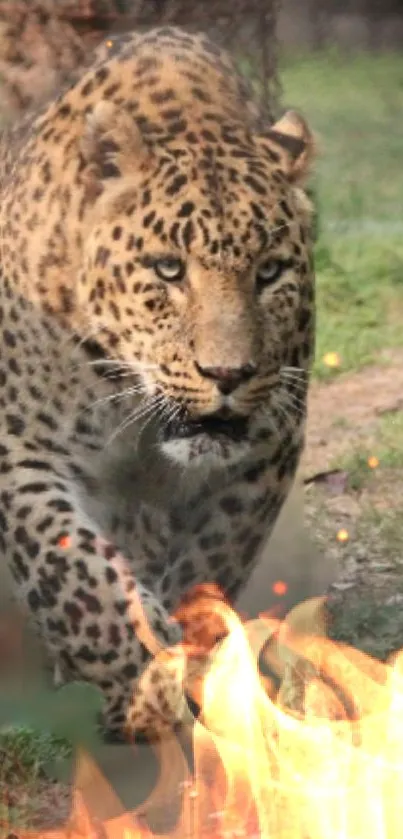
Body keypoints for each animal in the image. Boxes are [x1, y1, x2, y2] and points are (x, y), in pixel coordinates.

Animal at [0, 23, 318, 740]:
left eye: (270, 271)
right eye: (168, 269)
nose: (228, 373)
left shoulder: (264, 449)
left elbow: (213, 559)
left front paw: (192, 655)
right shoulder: (19, 446)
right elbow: (75, 570)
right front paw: (141, 681)